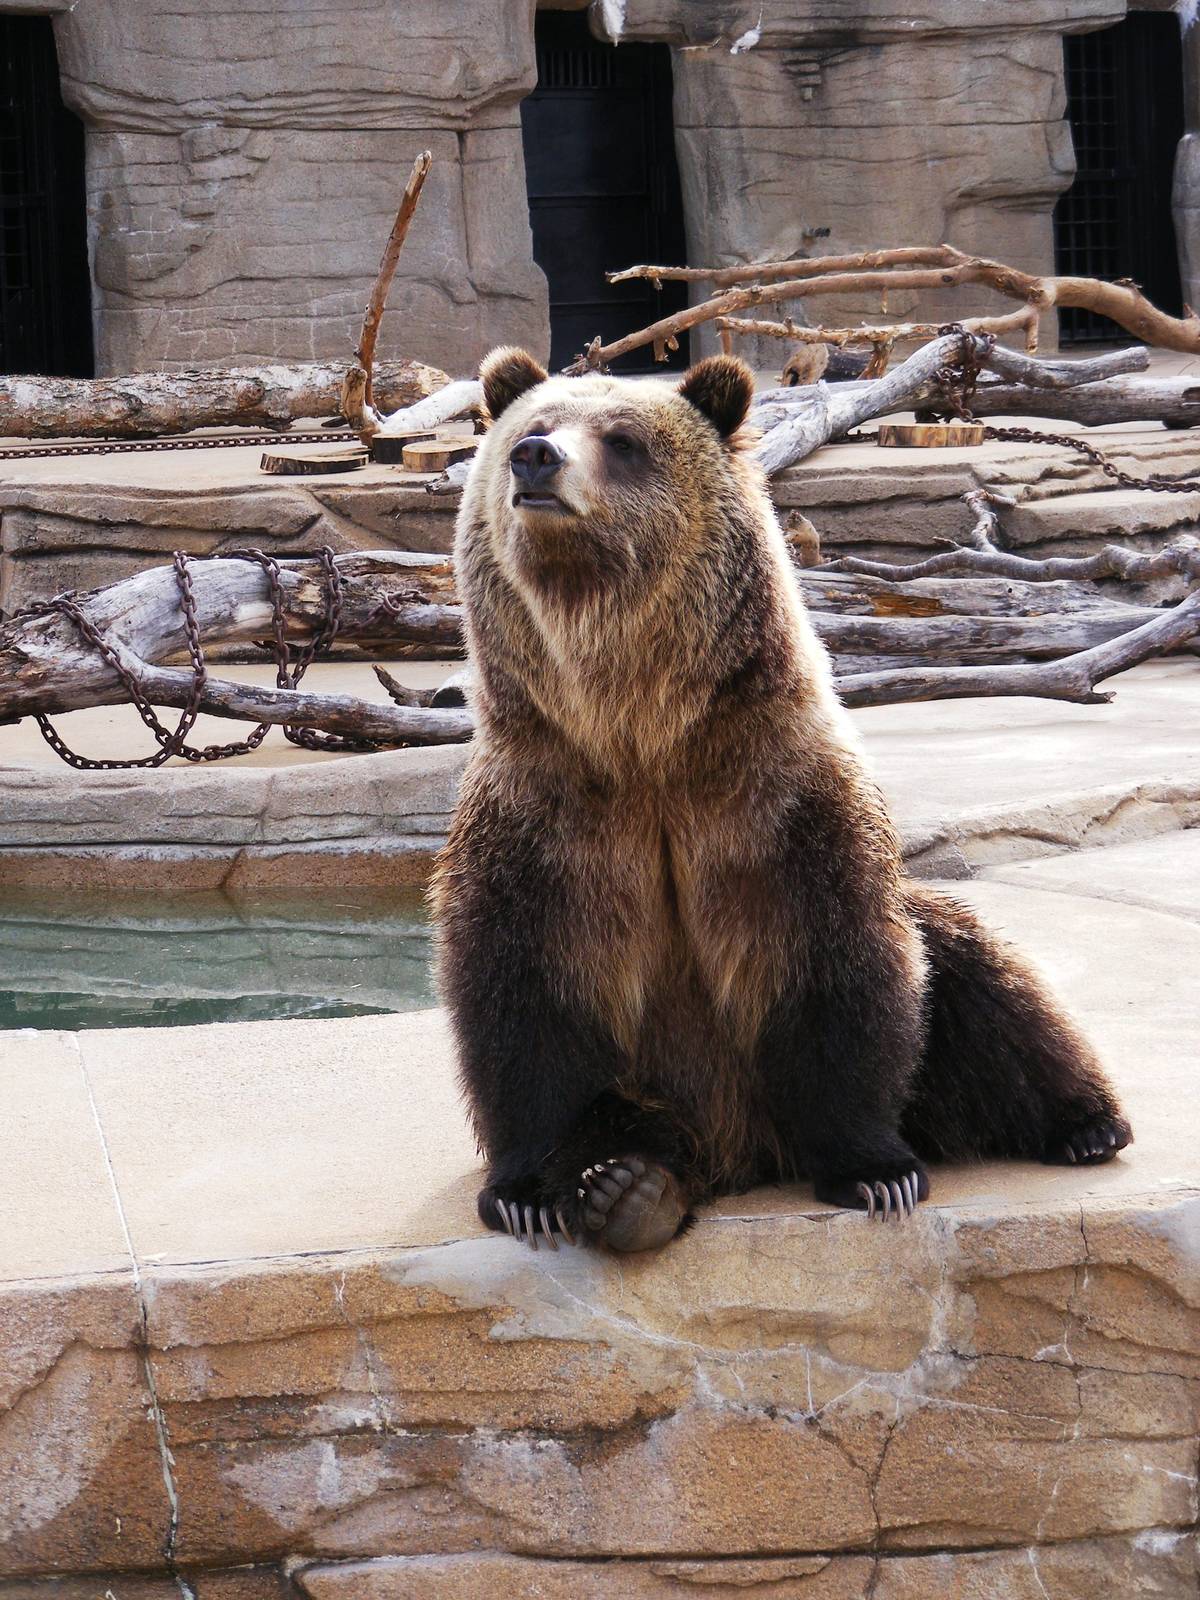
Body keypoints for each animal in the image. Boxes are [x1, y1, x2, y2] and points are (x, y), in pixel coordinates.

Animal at [430, 346, 1132, 1253]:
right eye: (536, 423)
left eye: (622, 440)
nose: (536, 459)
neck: (638, 731)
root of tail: (745, 1153)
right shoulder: (546, 813)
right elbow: (521, 991)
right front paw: (527, 1193)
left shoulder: (773, 798)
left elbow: (837, 959)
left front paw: (876, 1172)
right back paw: (630, 1190)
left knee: (981, 975)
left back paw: (1086, 1123)